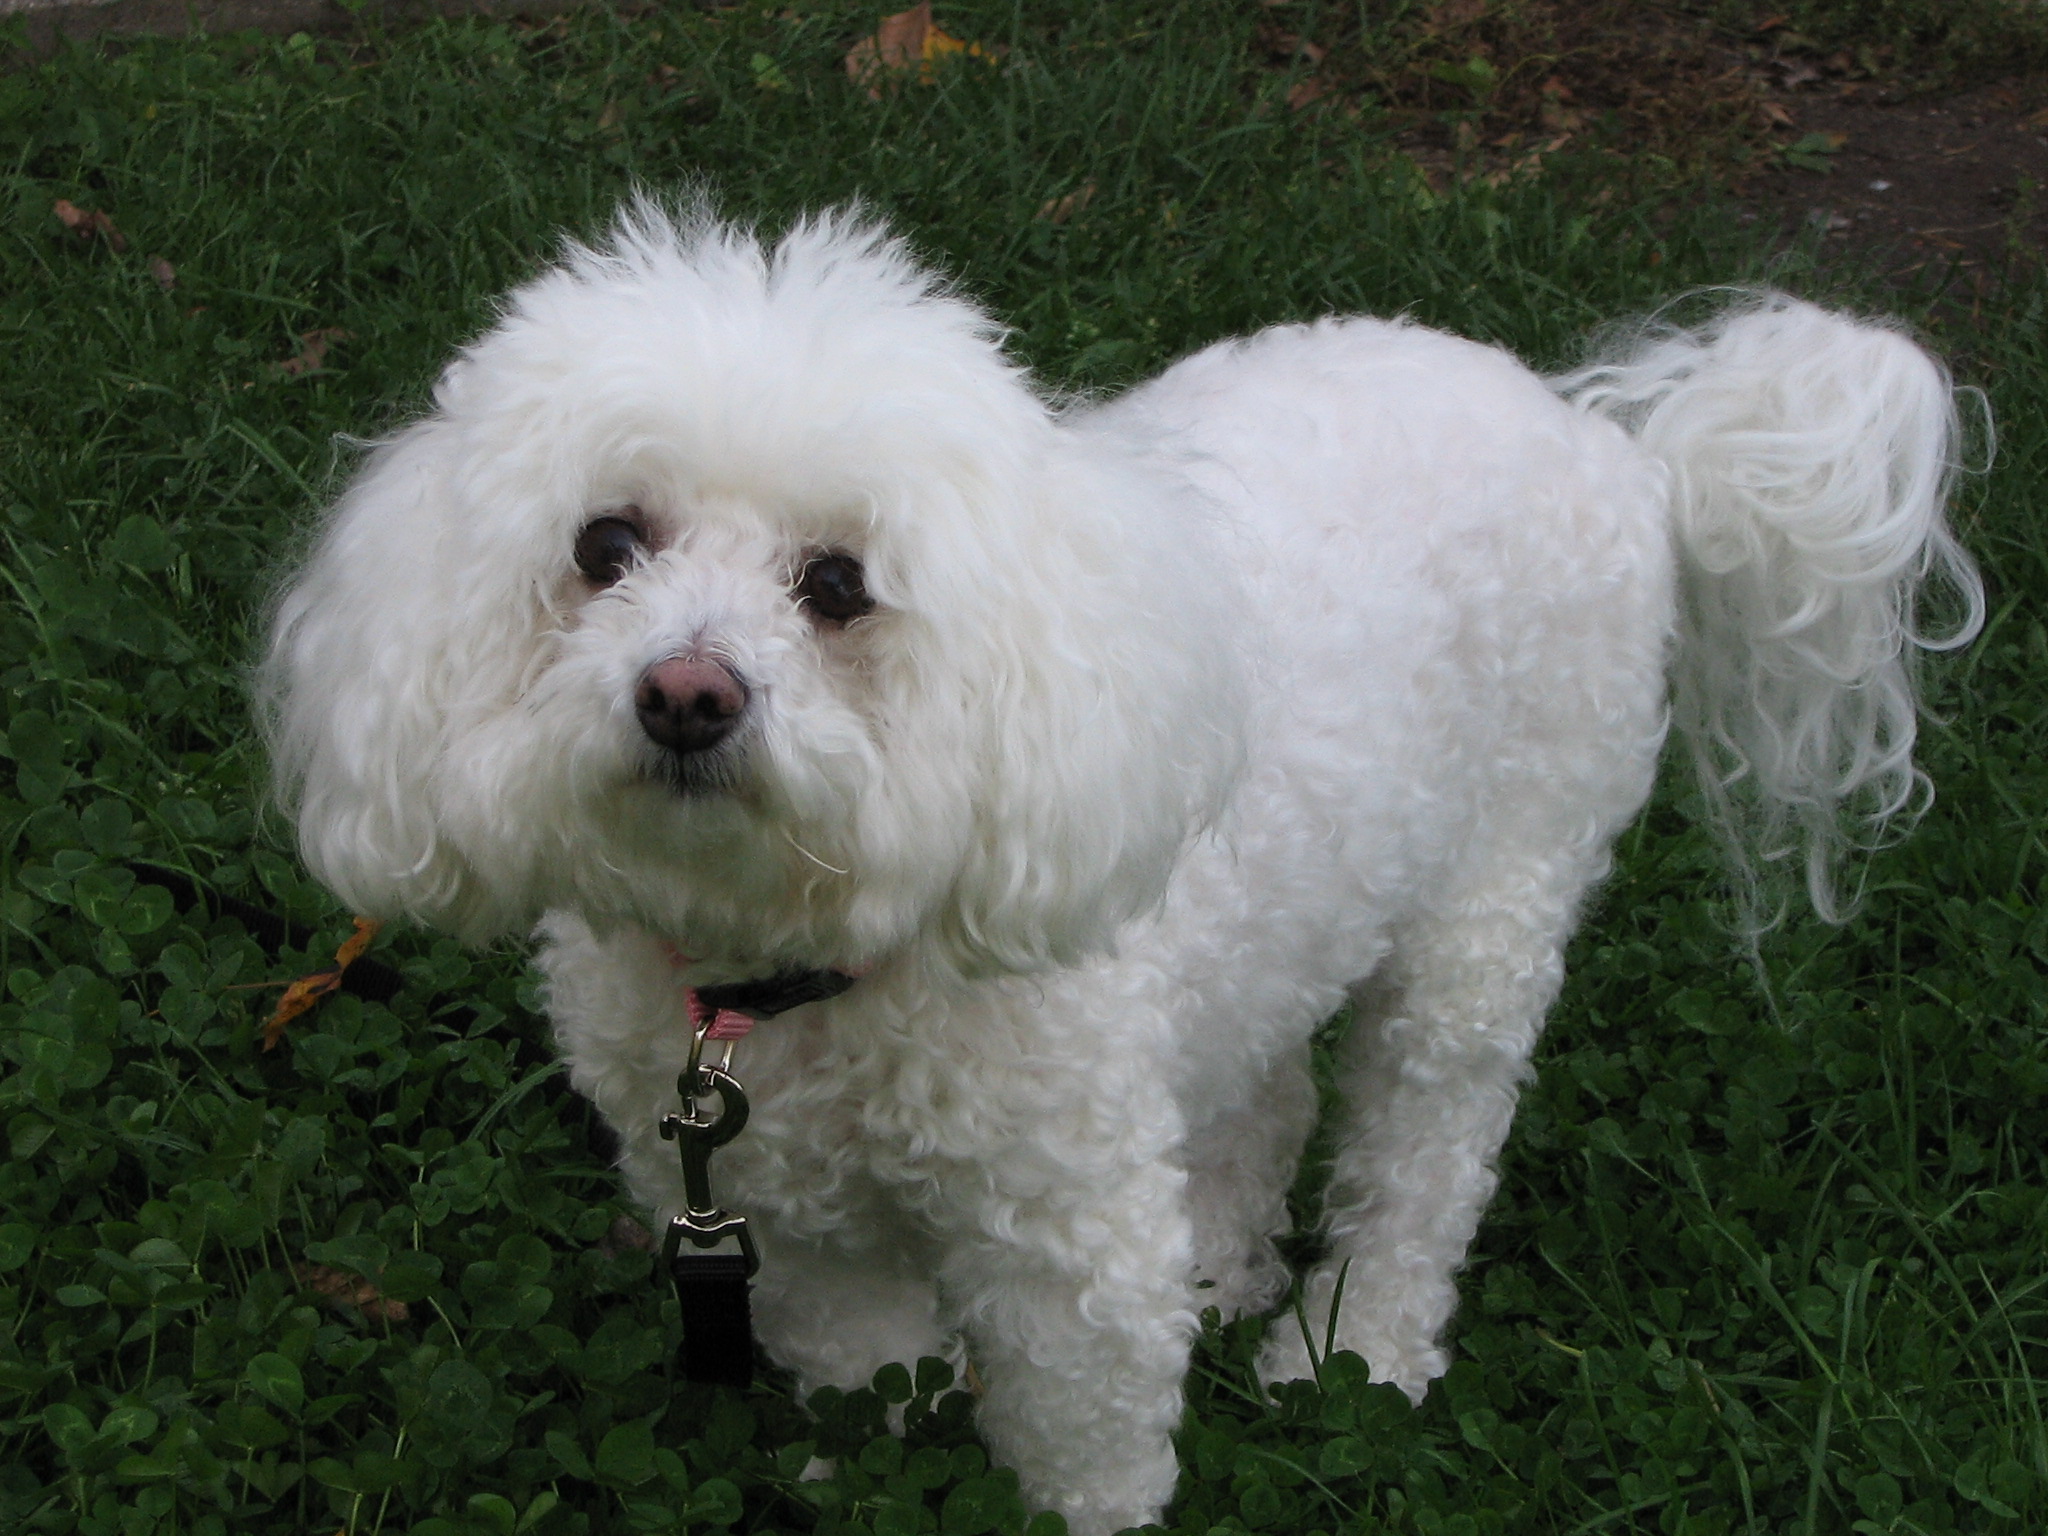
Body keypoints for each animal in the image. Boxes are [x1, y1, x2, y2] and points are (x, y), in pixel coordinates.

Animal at [260, 207, 1982, 1536]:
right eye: (604, 548)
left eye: (839, 585)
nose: (686, 695)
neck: (799, 960)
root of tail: (1616, 441)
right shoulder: (805, 1238)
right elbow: (871, 1385)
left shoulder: (1064, 1250)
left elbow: (1084, 1448)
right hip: (1291, 902)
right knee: (1263, 1088)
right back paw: (1228, 1265)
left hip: (1492, 901)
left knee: (1427, 1147)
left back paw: (1351, 1346)